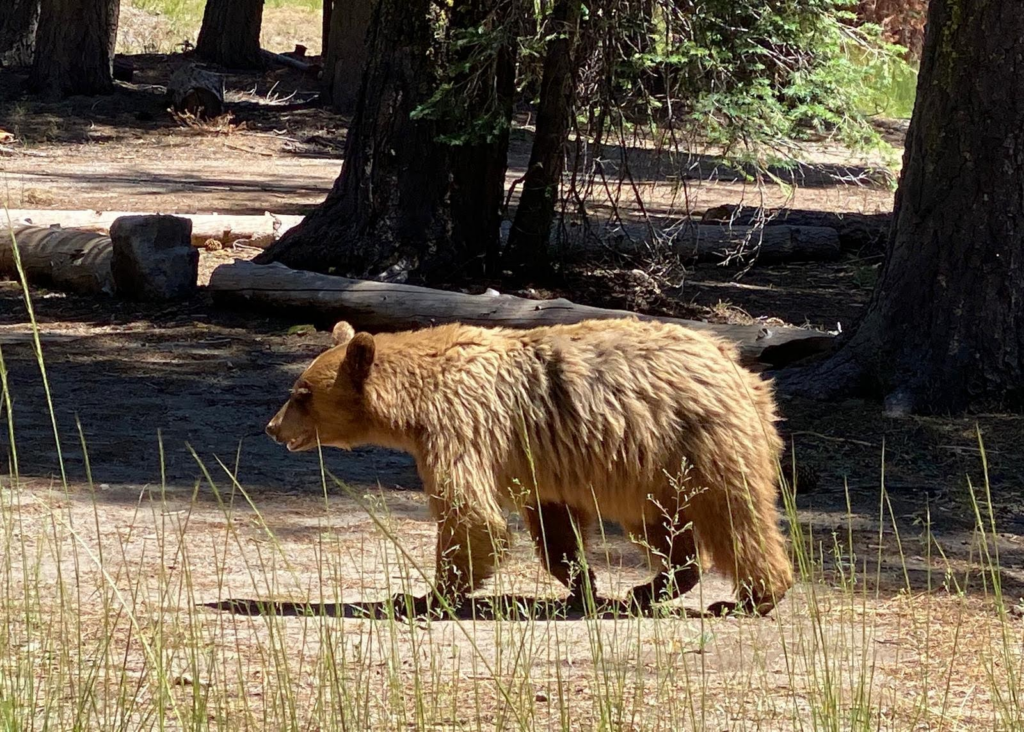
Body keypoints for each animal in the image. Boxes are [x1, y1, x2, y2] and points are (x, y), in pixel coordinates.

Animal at [264, 317, 790, 614]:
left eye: (301, 393)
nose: (272, 427)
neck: (414, 403)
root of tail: (738, 367)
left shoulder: (462, 426)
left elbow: (470, 517)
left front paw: (424, 598)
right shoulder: (539, 461)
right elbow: (554, 528)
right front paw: (584, 585)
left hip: (700, 442)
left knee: (734, 517)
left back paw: (752, 596)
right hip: (655, 467)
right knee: (664, 524)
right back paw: (651, 588)